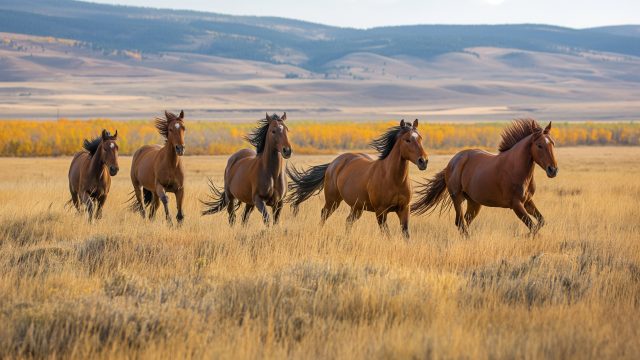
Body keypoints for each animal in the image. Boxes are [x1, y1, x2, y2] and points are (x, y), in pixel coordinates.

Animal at [286, 119, 428, 239]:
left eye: (420, 138)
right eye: (407, 140)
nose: (423, 161)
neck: (394, 179)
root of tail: (333, 163)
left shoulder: (404, 209)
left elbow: (406, 234)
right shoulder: (381, 212)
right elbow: (387, 235)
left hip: (357, 207)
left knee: (348, 221)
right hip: (333, 201)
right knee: (324, 214)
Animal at [412, 119, 556, 236]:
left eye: (553, 143)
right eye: (539, 145)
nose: (553, 170)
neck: (516, 169)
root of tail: (452, 162)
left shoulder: (527, 201)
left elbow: (541, 222)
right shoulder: (516, 204)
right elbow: (532, 226)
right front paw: (525, 236)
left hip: (474, 203)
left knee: (464, 222)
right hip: (457, 198)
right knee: (461, 223)